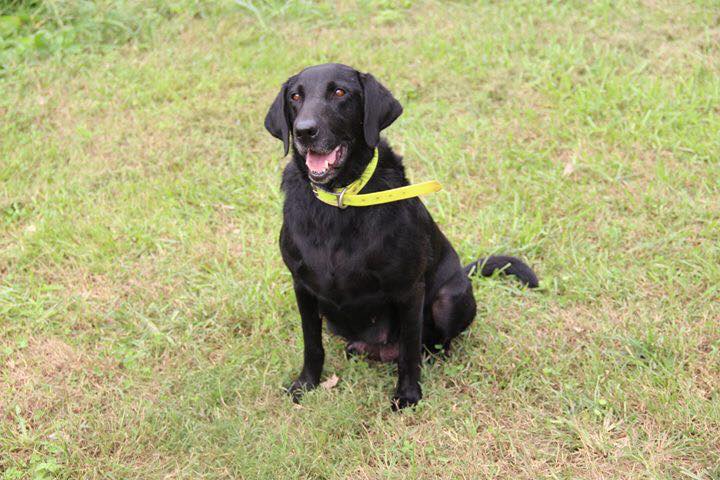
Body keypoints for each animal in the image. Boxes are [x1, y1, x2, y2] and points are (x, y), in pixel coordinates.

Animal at [262, 62, 536, 408]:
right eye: (295, 97)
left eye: (339, 92)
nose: (304, 131)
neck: (340, 202)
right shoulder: (303, 287)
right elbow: (312, 344)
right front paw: (305, 384)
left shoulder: (409, 289)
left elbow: (408, 349)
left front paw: (407, 395)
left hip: (447, 299)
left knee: (432, 342)